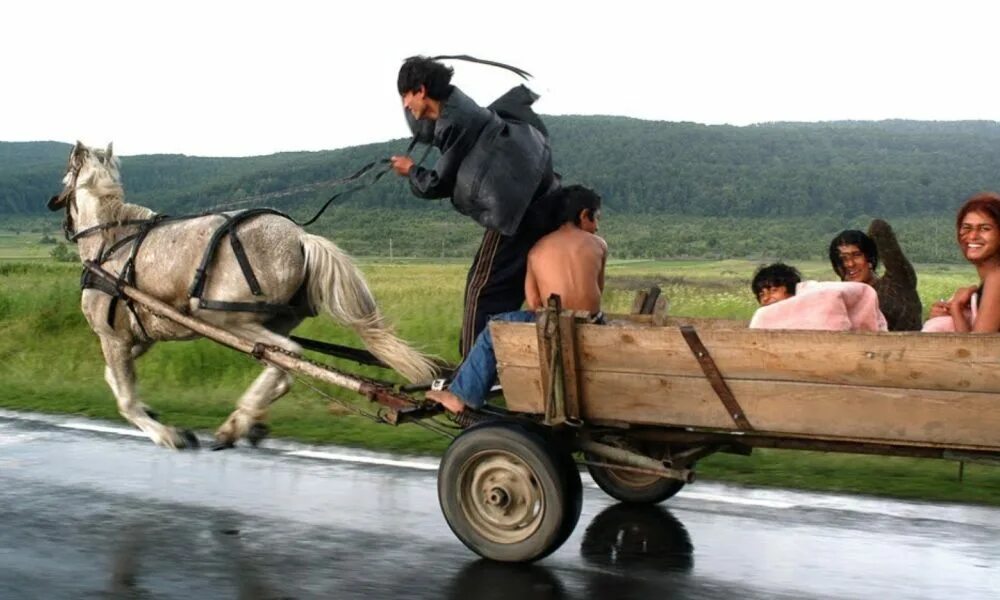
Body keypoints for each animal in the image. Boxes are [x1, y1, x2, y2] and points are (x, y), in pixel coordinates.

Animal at [47, 142, 438, 450]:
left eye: (65, 178)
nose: (57, 209)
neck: (111, 243)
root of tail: (301, 238)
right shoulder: (141, 336)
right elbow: (113, 379)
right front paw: (154, 414)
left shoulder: (112, 336)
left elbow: (126, 399)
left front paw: (170, 435)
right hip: (269, 323)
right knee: (281, 367)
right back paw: (248, 422)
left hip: (228, 319)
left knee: (288, 357)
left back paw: (238, 422)